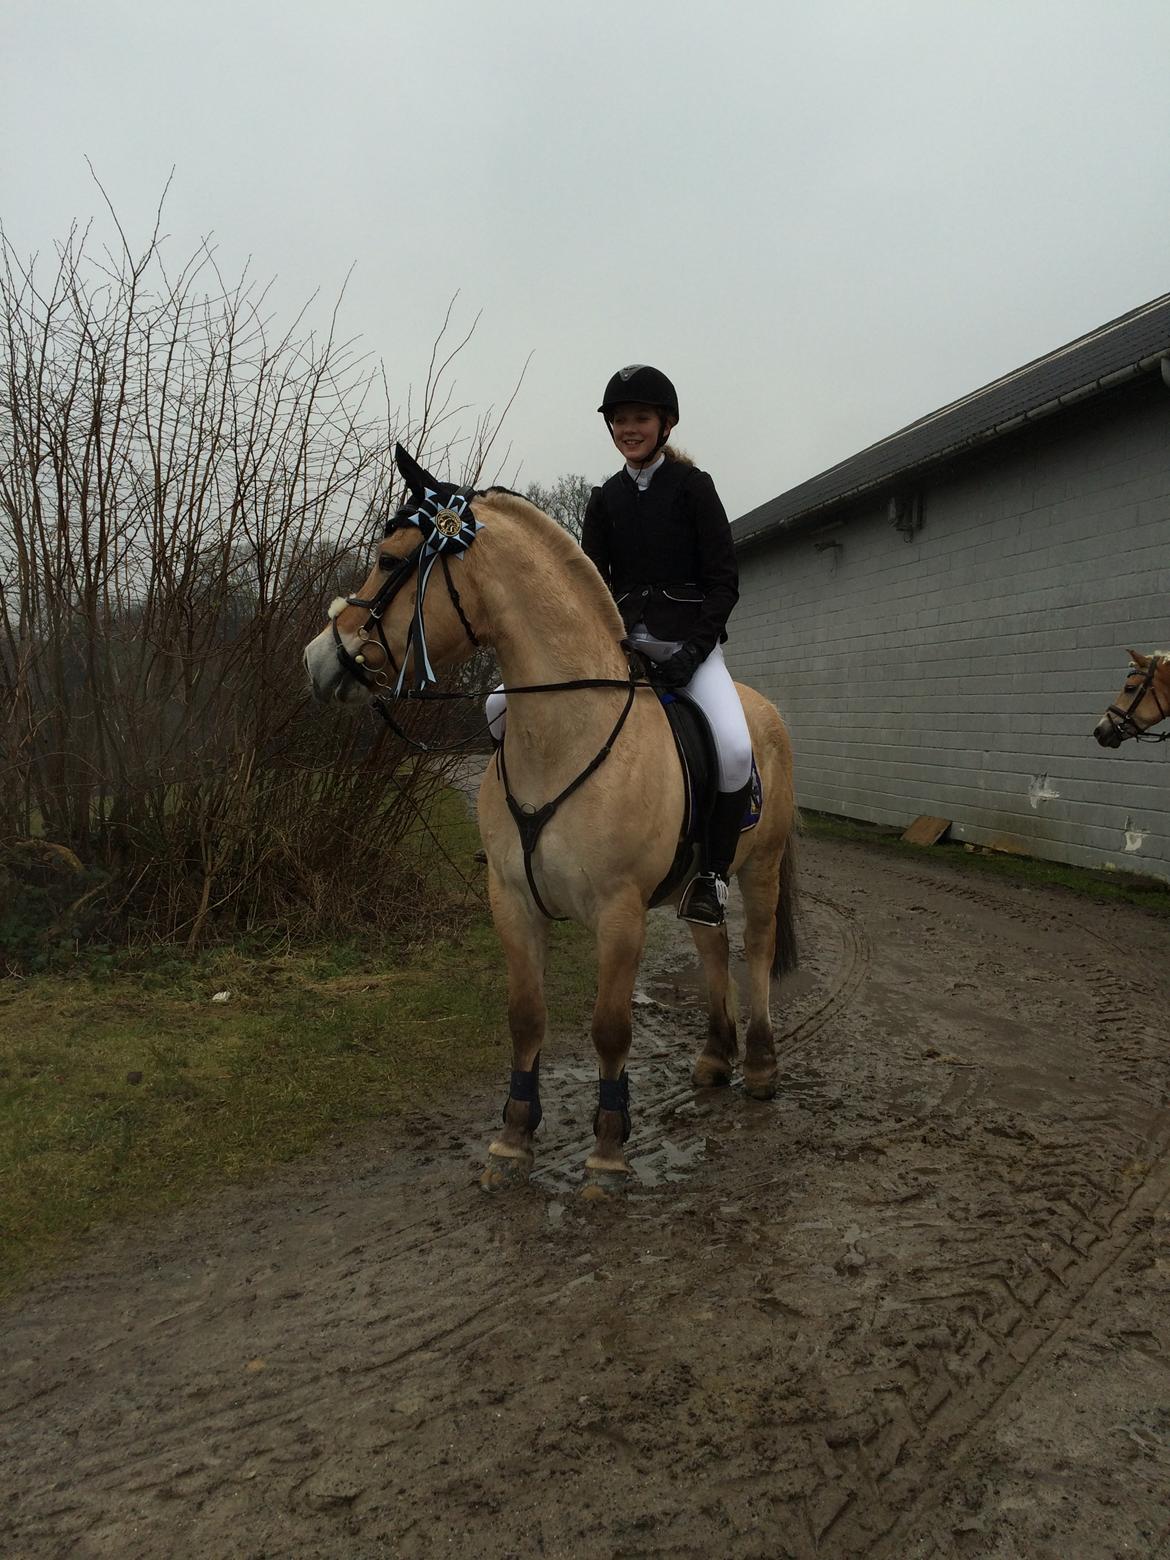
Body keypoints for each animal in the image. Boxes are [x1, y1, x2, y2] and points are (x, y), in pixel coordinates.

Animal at [302, 452, 804, 1191]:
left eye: (390, 558)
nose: (319, 660)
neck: (563, 732)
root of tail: (764, 709)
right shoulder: (512, 900)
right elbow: (525, 1017)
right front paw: (513, 1139)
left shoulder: (619, 912)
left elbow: (609, 1028)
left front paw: (609, 1149)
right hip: (697, 884)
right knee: (712, 947)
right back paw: (715, 1058)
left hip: (761, 868)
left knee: (757, 951)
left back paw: (763, 1067)